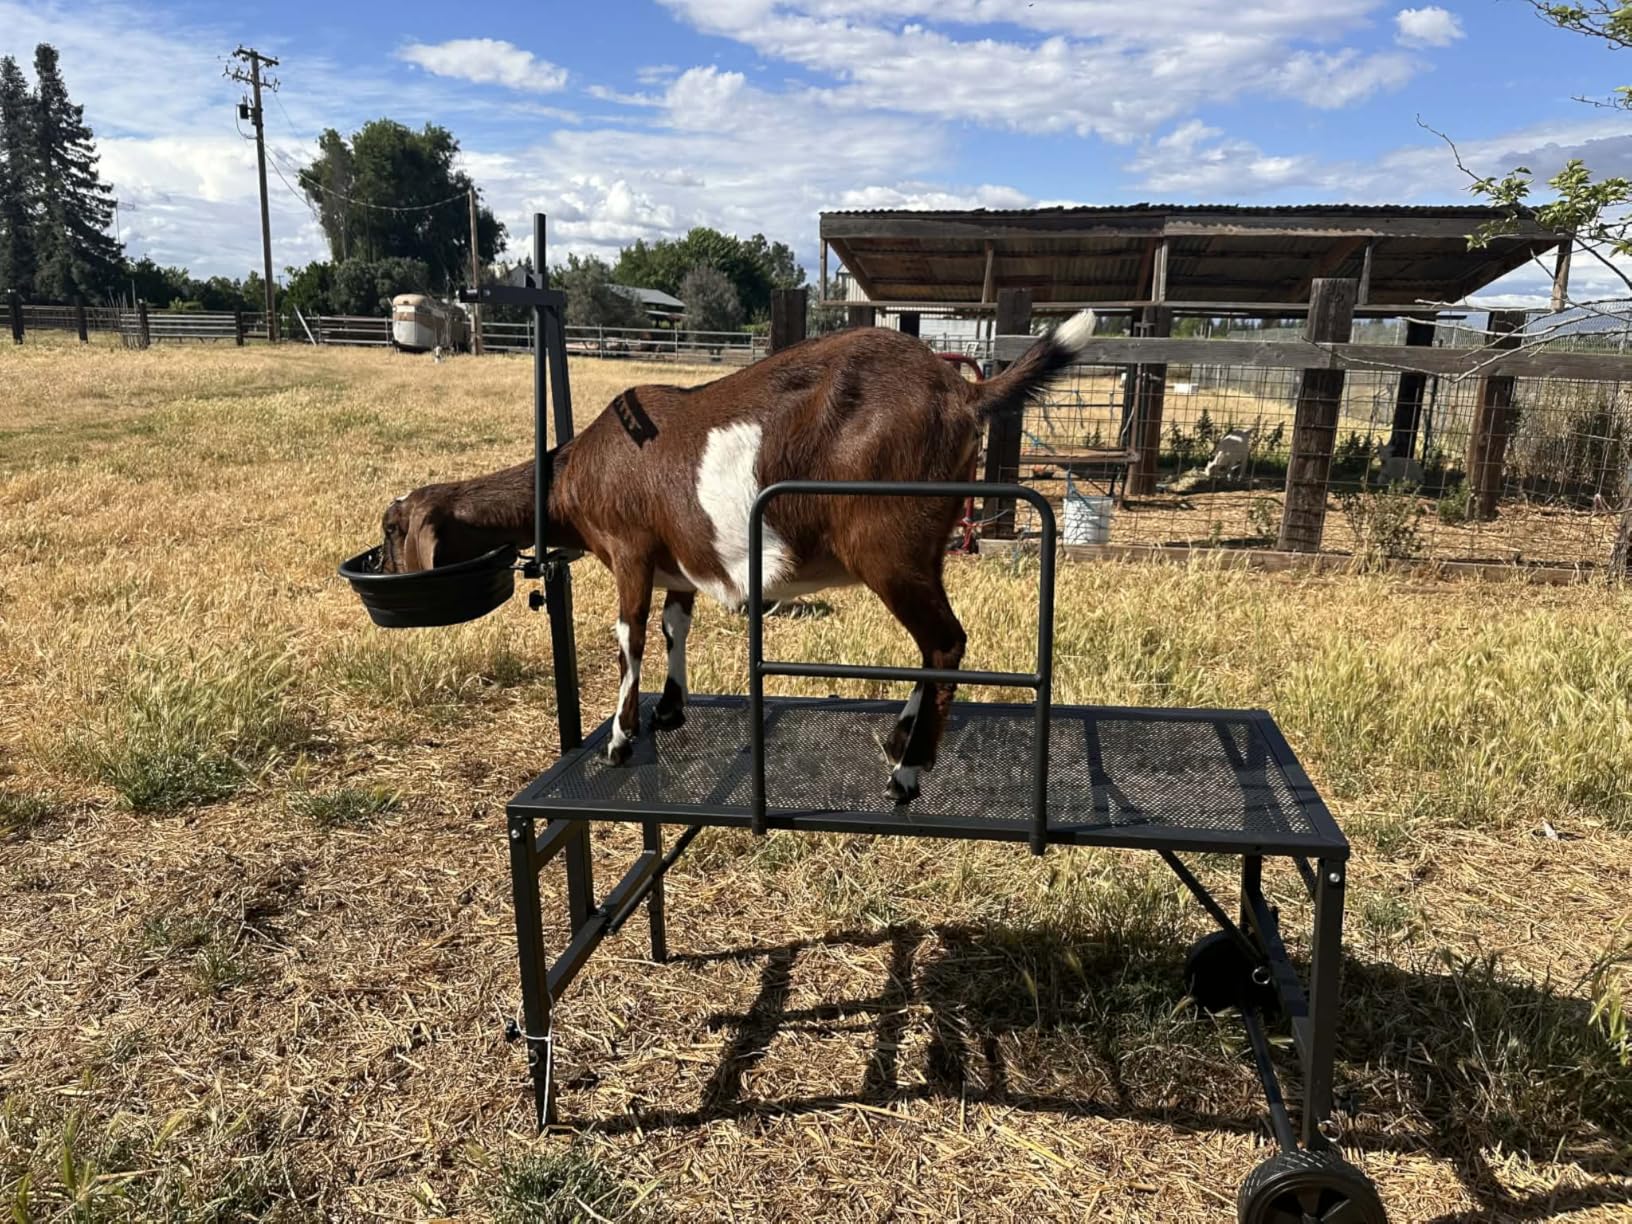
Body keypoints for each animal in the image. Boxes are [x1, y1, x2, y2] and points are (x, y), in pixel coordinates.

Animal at [378, 311, 1100, 804]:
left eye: (390, 531)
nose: (383, 573)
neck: (578, 473)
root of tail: (961, 393)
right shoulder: (677, 561)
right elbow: (674, 625)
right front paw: (669, 712)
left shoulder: (630, 549)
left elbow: (628, 636)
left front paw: (619, 739)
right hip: (926, 548)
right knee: (932, 646)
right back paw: (900, 739)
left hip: (888, 546)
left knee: (946, 641)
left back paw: (908, 773)